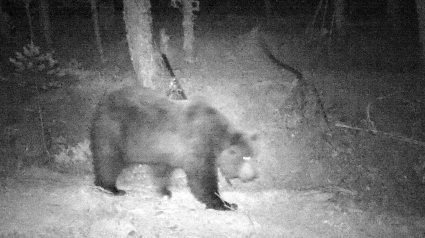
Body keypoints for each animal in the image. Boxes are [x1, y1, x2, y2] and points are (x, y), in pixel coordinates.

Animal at [90, 85, 258, 210]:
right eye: (245, 157)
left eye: (253, 155)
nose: (253, 176)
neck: (216, 137)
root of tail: (103, 100)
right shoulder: (199, 144)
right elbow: (201, 177)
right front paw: (225, 203)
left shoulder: (165, 151)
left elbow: (162, 170)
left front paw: (164, 191)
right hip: (113, 130)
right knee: (108, 160)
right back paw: (111, 188)